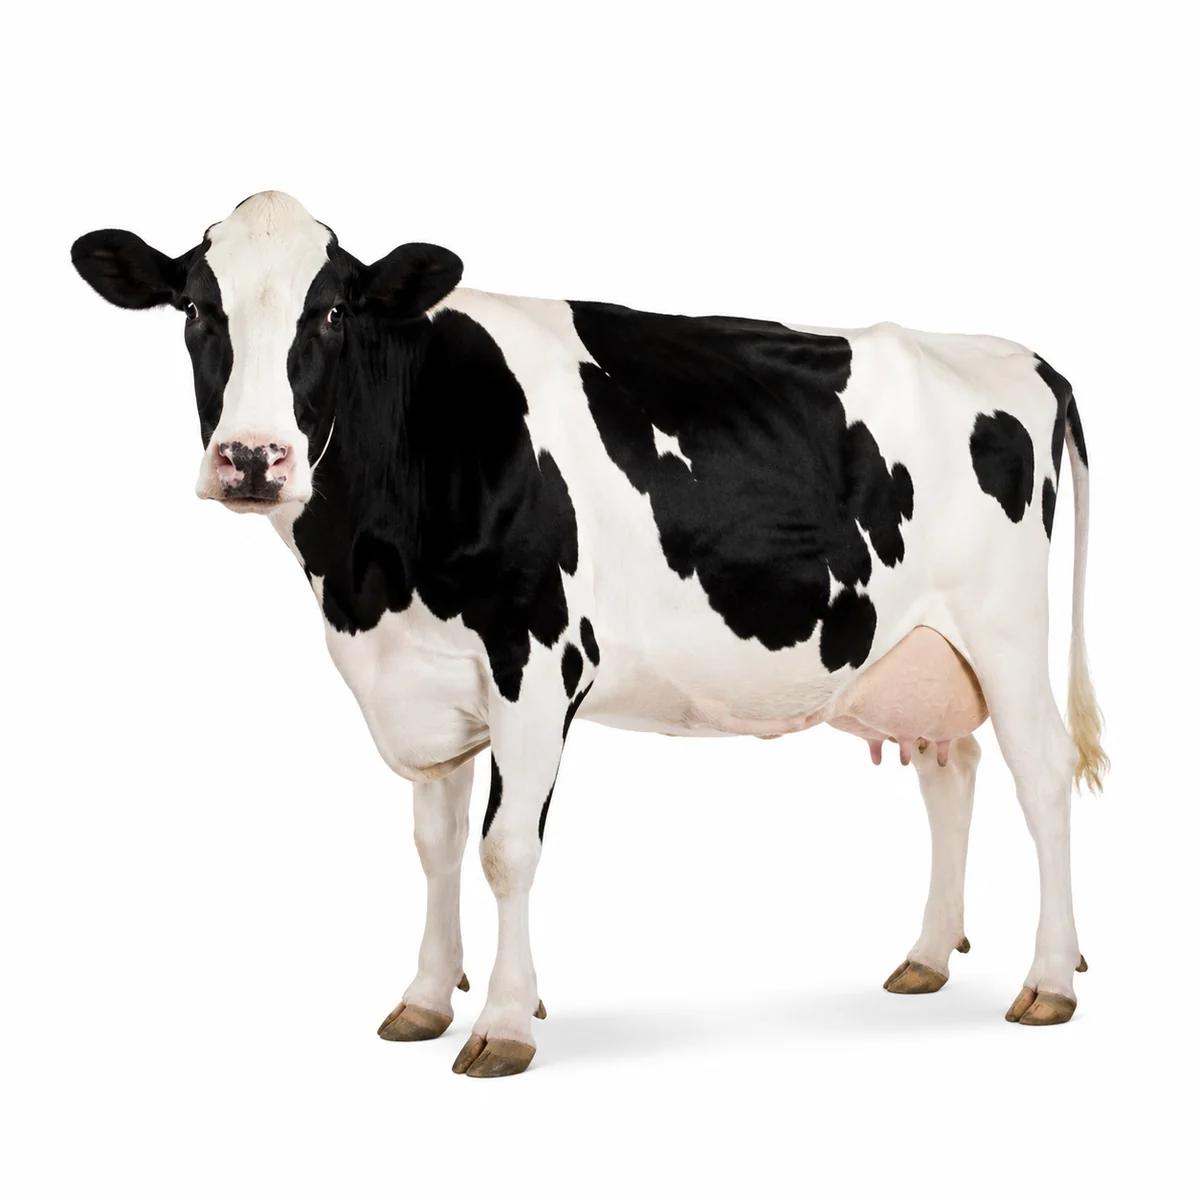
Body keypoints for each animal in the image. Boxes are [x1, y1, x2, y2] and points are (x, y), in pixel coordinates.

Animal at [72, 191, 1106, 1077]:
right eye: (196, 309)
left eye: (329, 314)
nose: (252, 458)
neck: (367, 577)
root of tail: (1018, 355)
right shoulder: (425, 679)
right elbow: (435, 846)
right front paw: (423, 999)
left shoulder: (536, 662)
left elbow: (504, 851)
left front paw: (502, 1023)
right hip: (919, 651)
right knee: (950, 769)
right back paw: (927, 957)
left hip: (1009, 633)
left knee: (1043, 775)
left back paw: (1049, 979)